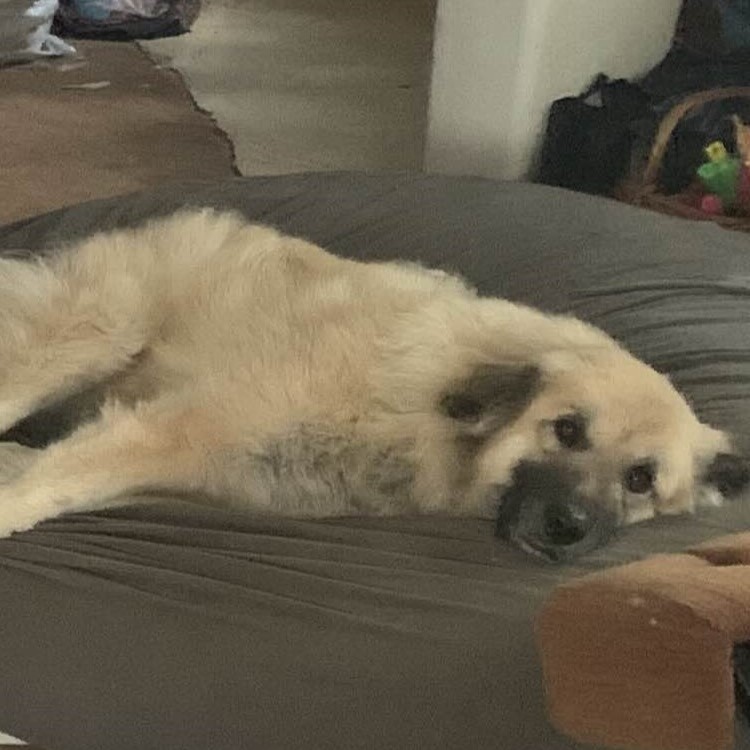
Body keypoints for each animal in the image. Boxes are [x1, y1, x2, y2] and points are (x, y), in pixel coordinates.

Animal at [0, 208, 744, 560]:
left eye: (641, 480)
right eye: (566, 430)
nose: (569, 528)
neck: (434, 412)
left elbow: (55, 474)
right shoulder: (174, 428)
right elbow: (48, 484)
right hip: (97, 332)